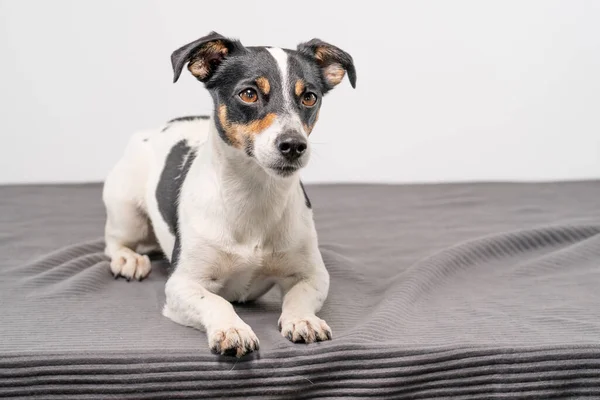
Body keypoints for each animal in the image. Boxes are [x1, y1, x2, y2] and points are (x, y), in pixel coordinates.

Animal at [103, 31, 356, 356]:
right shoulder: (182, 284)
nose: (294, 145)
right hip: (126, 210)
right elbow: (215, 301)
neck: (253, 195)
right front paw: (232, 328)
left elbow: (298, 295)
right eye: (248, 94)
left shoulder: (313, 275)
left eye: (309, 97)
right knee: (115, 242)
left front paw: (303, 319)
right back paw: (128, 260)